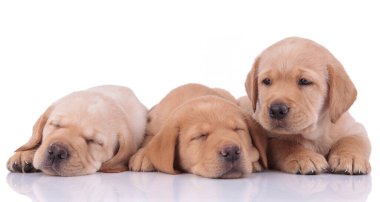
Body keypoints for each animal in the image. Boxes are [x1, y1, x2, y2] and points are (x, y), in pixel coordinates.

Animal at [243, 37, 372, 174]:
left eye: (304, 81)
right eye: (266, 81)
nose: (277, 110)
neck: (314, 132)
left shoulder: (355, 128)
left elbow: (352, 140)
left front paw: (350, 156)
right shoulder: (268, 136)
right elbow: (284, 144)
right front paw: (304, 157)